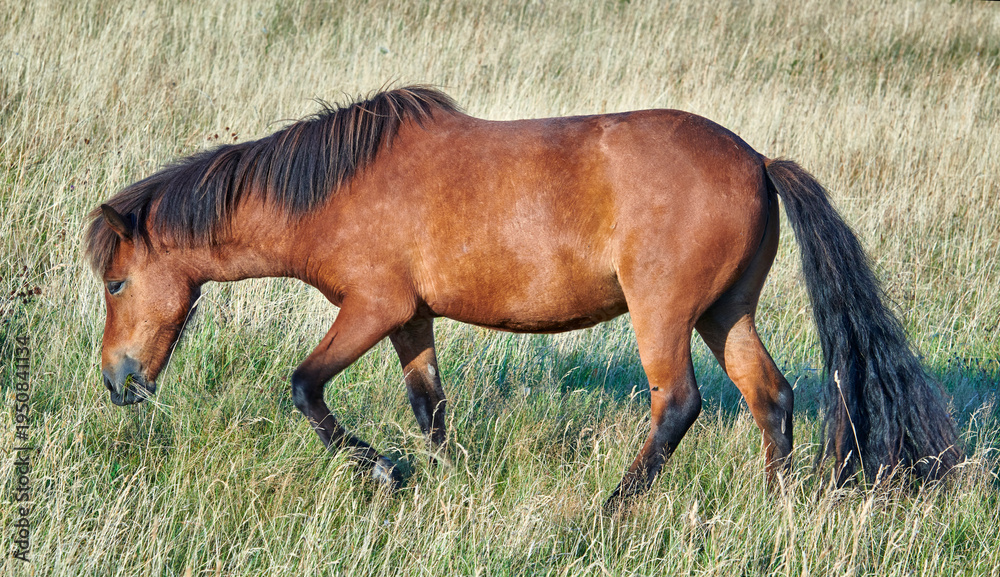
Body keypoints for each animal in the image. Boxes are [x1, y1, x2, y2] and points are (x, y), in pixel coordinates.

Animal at [85, 86, 961, 509]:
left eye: (117, 280)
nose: (117, 380)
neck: (334, 189)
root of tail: (756, 161)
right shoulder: (410, 319)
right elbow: (430, 406)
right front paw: (443, 479)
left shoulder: (370, 308)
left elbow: (305, 388)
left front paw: (384, 473)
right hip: (724, 313)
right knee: (770, 397)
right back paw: (775, 500)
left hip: (664, 316)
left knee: (678, 404)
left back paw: (611, 510)